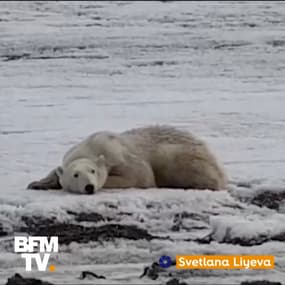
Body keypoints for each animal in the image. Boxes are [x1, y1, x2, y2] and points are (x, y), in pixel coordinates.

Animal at [27, 125, 226, 194]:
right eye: (75, 175)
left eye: (93, 171)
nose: (89, 187)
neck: (91, 147)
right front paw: (37, 183)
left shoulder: (119, 155)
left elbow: (140, 175)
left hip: (180, 156)